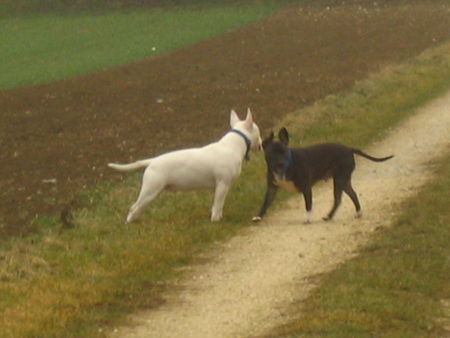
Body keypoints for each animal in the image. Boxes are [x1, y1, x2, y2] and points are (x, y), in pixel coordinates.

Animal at [108, 108, 262, 223]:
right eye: (258, 130)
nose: (261, 145)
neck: (233, 145)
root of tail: (152, 161)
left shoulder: (221, 186)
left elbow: (218, 205)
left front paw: (218, 217)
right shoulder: (222, 184)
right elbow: (218, 205)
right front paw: (216, 221)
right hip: (150, 190)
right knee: (134, 208)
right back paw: (129, 224)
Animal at [253, 128, 394, 223]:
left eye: (284, 152)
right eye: (272, 154)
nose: (280, 163)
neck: (286, 167)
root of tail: (349, 149)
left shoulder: (306, 187)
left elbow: (308, 204)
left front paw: (308, 219)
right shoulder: (272, 188)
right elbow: (265, 203)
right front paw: (258, 216)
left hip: (340, 179)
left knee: (341, 198)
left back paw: (335, 215)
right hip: (342, 180)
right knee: (348, 196)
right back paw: (341, 215)